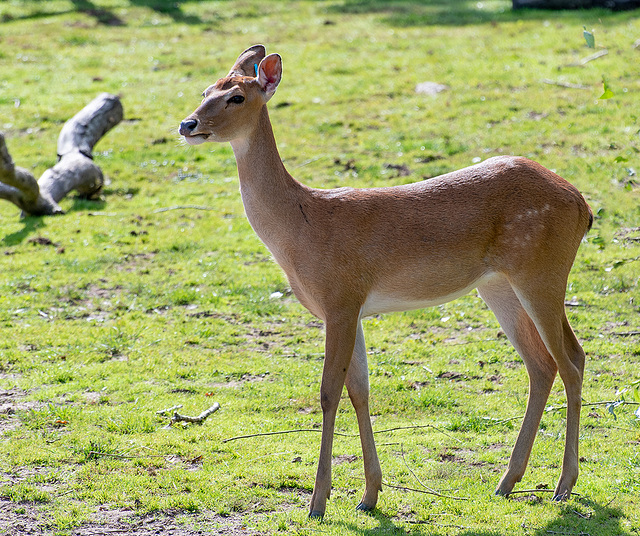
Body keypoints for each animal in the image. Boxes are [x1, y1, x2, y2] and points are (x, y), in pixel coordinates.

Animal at [178, 46, 592, 520]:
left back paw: (563, 485)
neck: (301, 228)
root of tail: (583, 207)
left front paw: (318, 503)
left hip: (543, 271)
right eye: (205, 90)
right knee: (541, 364)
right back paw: (507, 483)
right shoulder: (353, 307)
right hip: (498, 285)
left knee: (571, 359)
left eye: (237, 97)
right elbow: (360, 391)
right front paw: (369, 495)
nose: (188, 125)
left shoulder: (339, 297)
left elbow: (328, 392)